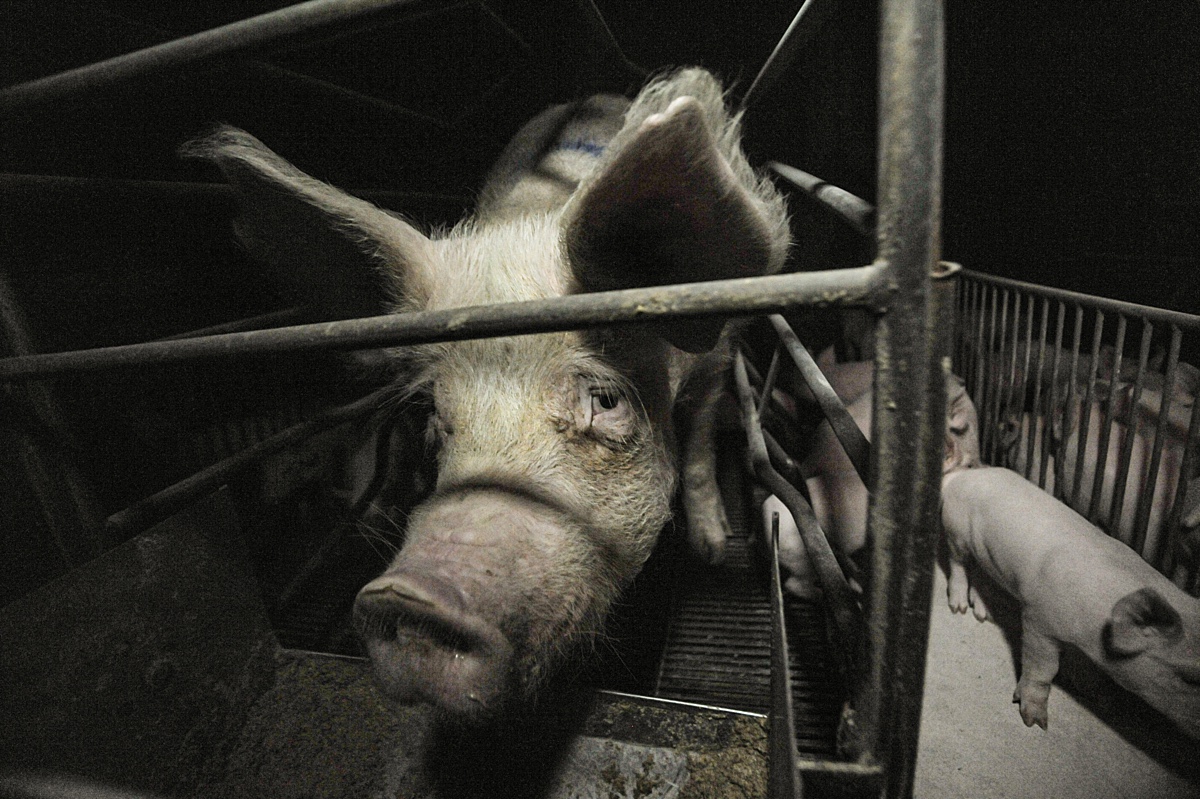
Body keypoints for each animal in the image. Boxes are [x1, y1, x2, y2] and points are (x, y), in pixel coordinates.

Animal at [184, 68, 791, 723]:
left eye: (605, 401)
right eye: (431, 410)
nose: (408, 598)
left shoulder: (719, 350)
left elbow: (700, 441)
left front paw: (710, 549)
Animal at [940, 465, 1200, 738]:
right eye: (1190, 678)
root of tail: (961, 475)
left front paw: (1095, 695)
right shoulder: (1038, 619)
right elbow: (1043, 669)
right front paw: (1035, 723)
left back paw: (984, 614)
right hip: (956, 529)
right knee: (957, 562)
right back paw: (958, 607)